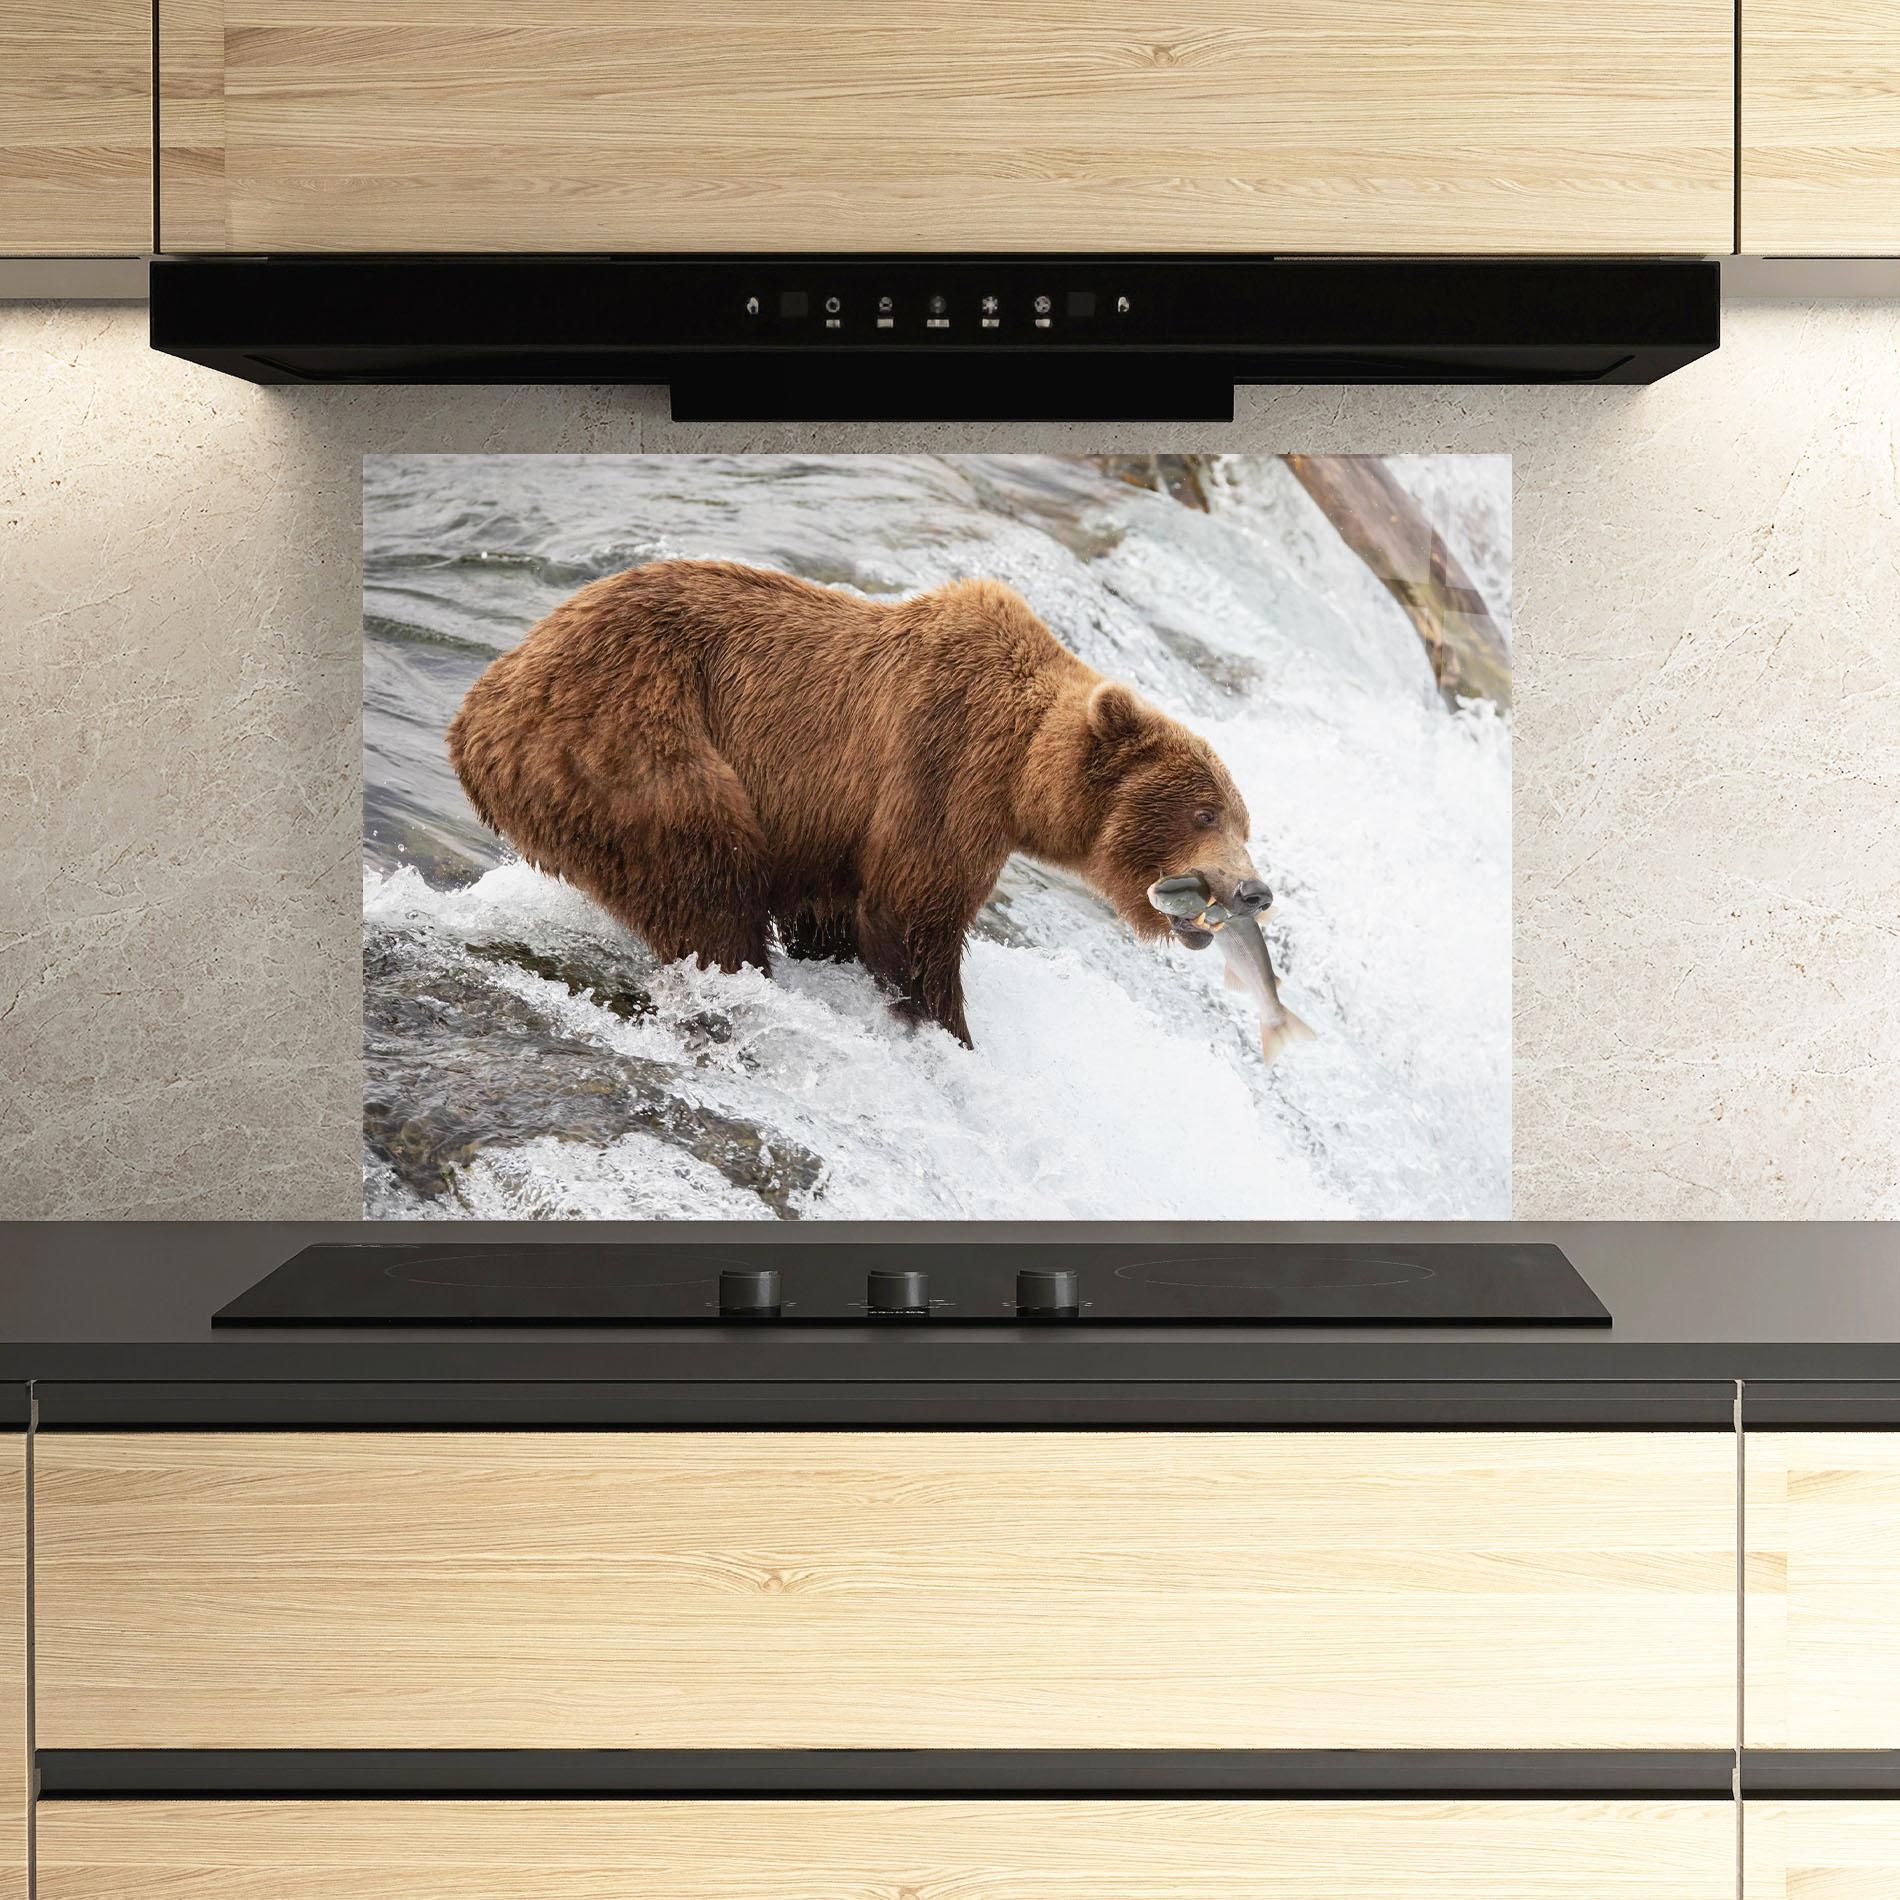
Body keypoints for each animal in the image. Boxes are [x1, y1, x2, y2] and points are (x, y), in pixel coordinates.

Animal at [448, 559, 1268, 1047]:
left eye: (1243, 820)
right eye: (1205, 813)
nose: (1254, 891)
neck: (1022, 774)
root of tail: (477, 709)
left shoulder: (831, 829)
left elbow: (836, 912)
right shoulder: (942, 766)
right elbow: (912, 916)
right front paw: (947, 1032)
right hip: (630, 743)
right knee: (706, 880)